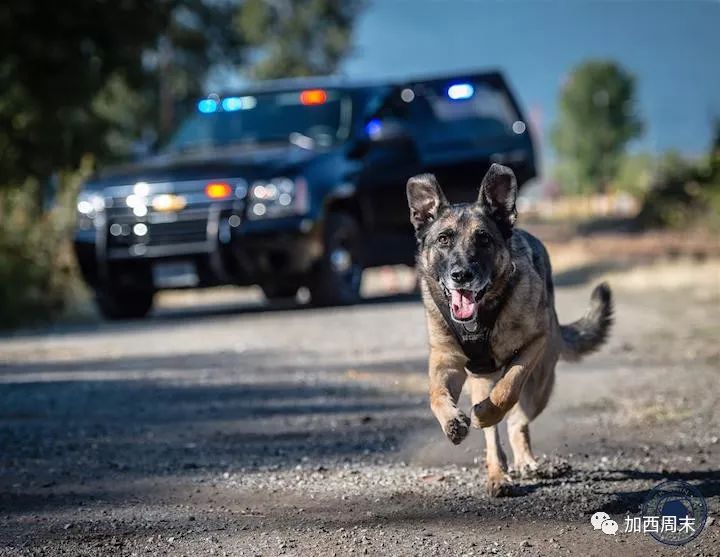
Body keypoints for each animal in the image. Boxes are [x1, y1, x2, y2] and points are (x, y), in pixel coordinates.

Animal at [408, 163, 612, 494]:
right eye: (443, 239)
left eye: (483, 240)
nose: (462, 275)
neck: (481, 316)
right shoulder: (446, 361)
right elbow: (436, 395)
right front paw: (453, 422)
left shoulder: (534, 344)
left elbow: (508, 389)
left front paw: (485, 412)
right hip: (482, 379)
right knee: (493, 439)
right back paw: (497, 475)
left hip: (542, 382)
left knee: (518, 422)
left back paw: (523, 459)